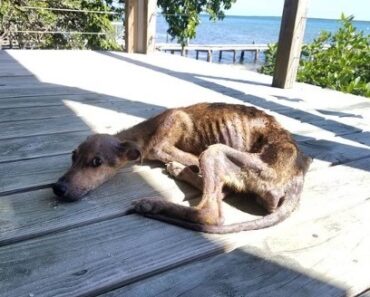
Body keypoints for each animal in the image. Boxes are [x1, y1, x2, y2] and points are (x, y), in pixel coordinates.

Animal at [53, 103, 310, 232]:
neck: (148, 129)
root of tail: (298, 173)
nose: (58, 188)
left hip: (215, 151)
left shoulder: (161, 145)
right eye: (73, 157)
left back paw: (155, 200)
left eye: (96, 162)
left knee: (211, 211)